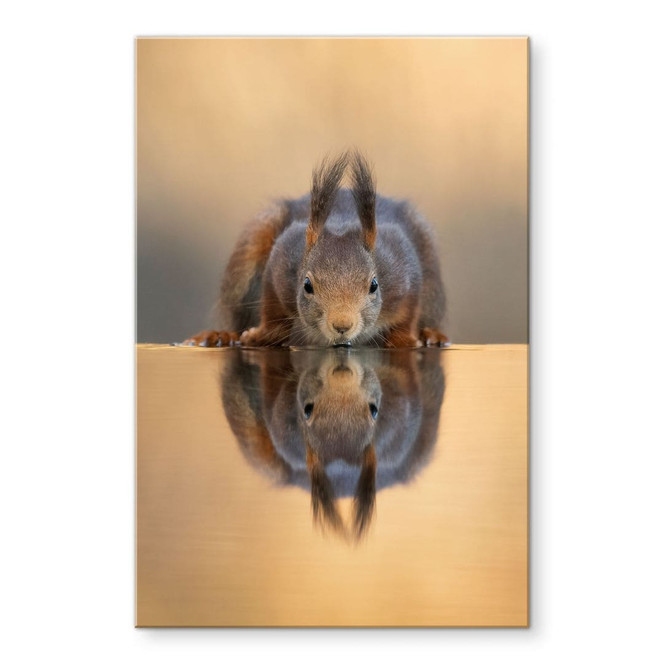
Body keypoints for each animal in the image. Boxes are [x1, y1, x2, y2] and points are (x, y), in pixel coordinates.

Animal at [185, 151, 449, 348]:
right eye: (307, 286)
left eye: (374, 285)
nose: (342, 326)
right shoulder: (282, 260)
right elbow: (272, 310)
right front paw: (261, 335)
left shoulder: (403, 268)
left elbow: (408, 314)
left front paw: (405, 339)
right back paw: (221, 336)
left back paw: (432, 335)